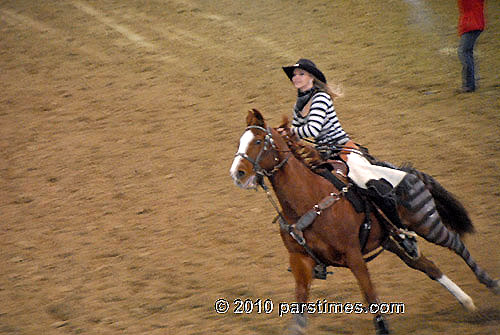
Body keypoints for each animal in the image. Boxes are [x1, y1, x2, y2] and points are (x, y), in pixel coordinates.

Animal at [229, 109, 496, 334]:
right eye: (240, 142)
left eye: (258, 142)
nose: (237, 174)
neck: (309, 201)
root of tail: (409, 172)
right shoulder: (300, 260)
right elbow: (300, 310)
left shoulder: (353, 255)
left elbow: (370, 297)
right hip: (390, 240)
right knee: (428, 266)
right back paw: (467, 302)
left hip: (427, 224)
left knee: (456, 243)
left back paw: (491, 283)